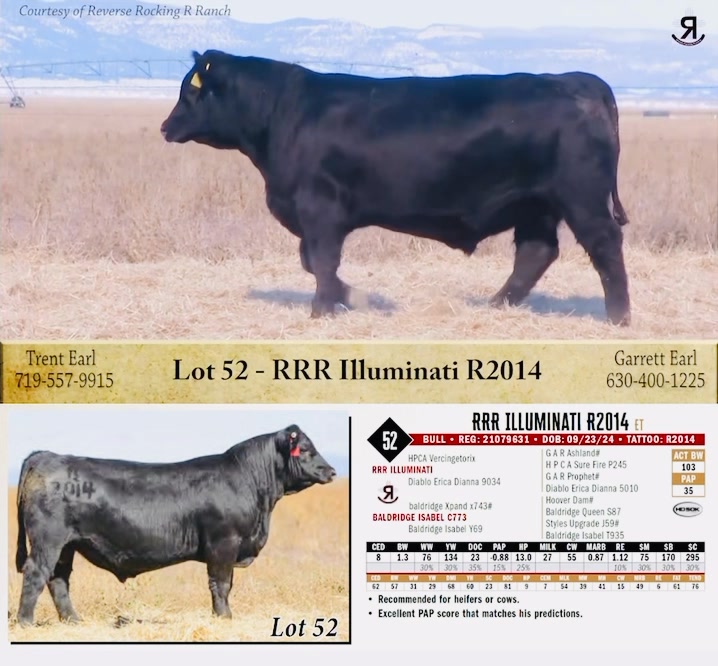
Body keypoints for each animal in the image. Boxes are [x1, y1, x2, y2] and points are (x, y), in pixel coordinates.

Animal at [14, 425, 336, 626]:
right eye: (305, 448)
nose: (332, 471)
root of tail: (47, 455)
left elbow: (226, 584)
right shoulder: (224, 543)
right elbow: (221, 584)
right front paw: (224, 618)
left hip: (67, 545)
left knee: (58, 579)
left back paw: (73, 621)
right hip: (48, 540)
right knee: (36, 573)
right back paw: (26, 622)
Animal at [161, 50, 631, 326]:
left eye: (190, 90)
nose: (166, 126)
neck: (284, 113)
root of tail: (575, 79)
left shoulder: (319, 207)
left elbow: (321, 261)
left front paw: (323, 309)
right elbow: (313, 263)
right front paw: (355, 298)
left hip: (581, 197)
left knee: (604, 246)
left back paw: (619, 318)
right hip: (535, 204)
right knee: (536, 252)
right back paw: (497, 305)